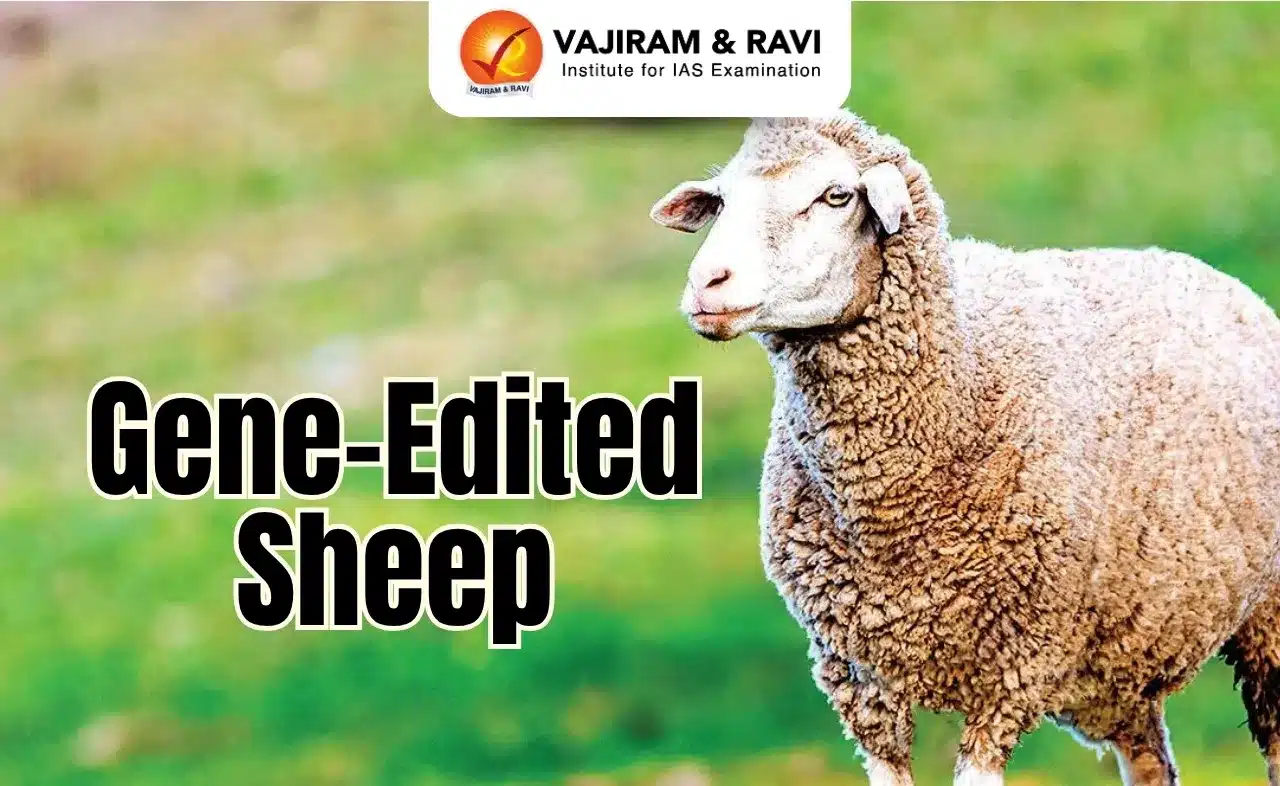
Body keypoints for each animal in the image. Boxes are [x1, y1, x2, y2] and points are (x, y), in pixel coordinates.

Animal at [649, 111, 1280, 786]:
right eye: (722, 202)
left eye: (836, 196)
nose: (707, 283)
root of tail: (1197, 269)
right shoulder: (863, 685)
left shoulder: (1013, 669)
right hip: (1122, 666)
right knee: (1151, 761)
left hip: (1265, 619)